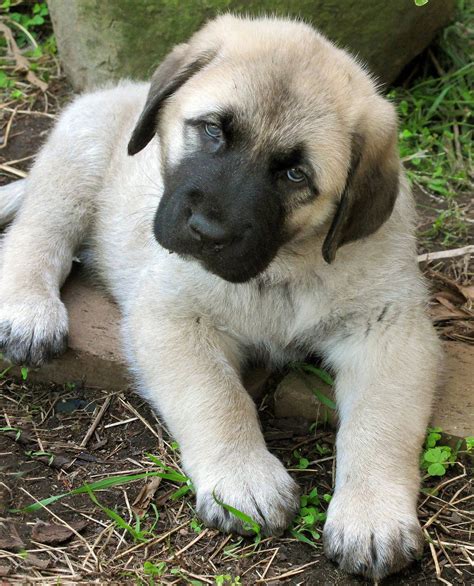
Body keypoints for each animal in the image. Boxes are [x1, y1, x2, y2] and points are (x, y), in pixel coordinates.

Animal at [0, 14, 440, 580]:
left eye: (294, 173)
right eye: (212, 130)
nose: (207, 232)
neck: (283, 268)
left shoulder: (390, 330)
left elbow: (380, 424)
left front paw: (372, 515)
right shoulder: (172, 314)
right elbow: (217, 397)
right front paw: (244, 478)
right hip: (79, 159)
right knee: (37, 234)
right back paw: (28, 310)